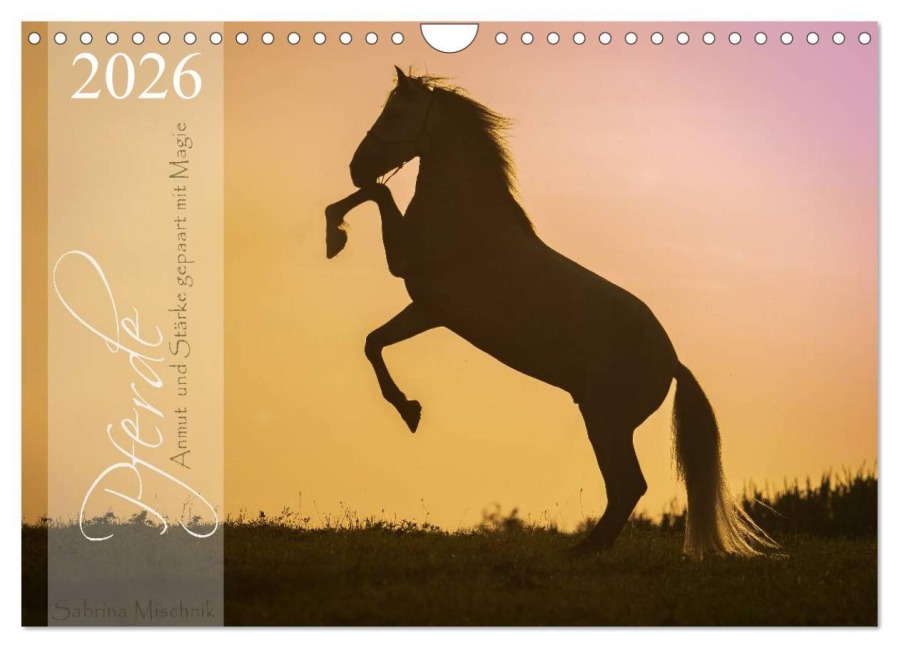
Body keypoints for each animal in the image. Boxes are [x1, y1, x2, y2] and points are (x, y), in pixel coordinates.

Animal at [324, 67, 774, 558]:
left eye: (394, 113)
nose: (355, 166)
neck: (465, 213)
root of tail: (671, 362)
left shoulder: (413, 276)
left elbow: (379, 194)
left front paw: (408, 410)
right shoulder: (429, 309)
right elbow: (373, 339)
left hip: (606, 419)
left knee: (629, 485)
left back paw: (586, 548)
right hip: (603, 419)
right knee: (623, 486)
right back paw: (589, 546)